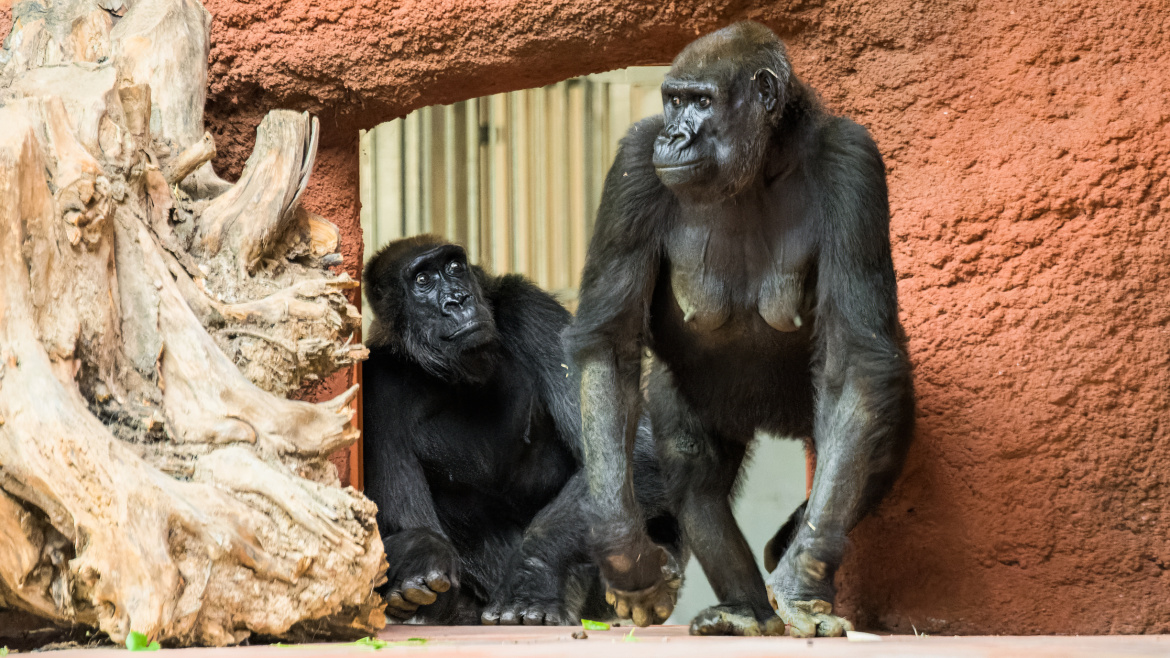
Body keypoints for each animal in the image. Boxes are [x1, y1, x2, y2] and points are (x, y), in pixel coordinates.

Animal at [362, 232, 631, 622]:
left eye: (454, 267)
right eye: (422, 280)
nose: (458, 300)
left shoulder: (531, 309)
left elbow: (616, 457)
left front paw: (533, 574)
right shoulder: (376, 379)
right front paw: (417, 553)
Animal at [570, 21, 917, 636]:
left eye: (703, 103)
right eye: (673, 100)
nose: (674, 137)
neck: (763, 164)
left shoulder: (852, 161)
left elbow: (855, 356)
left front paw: (804, 574)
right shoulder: (634, 160)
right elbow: (610, 345)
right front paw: (625, 555)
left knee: (871, 439)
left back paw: (791, 542)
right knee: (694, 470)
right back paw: (745, 609)